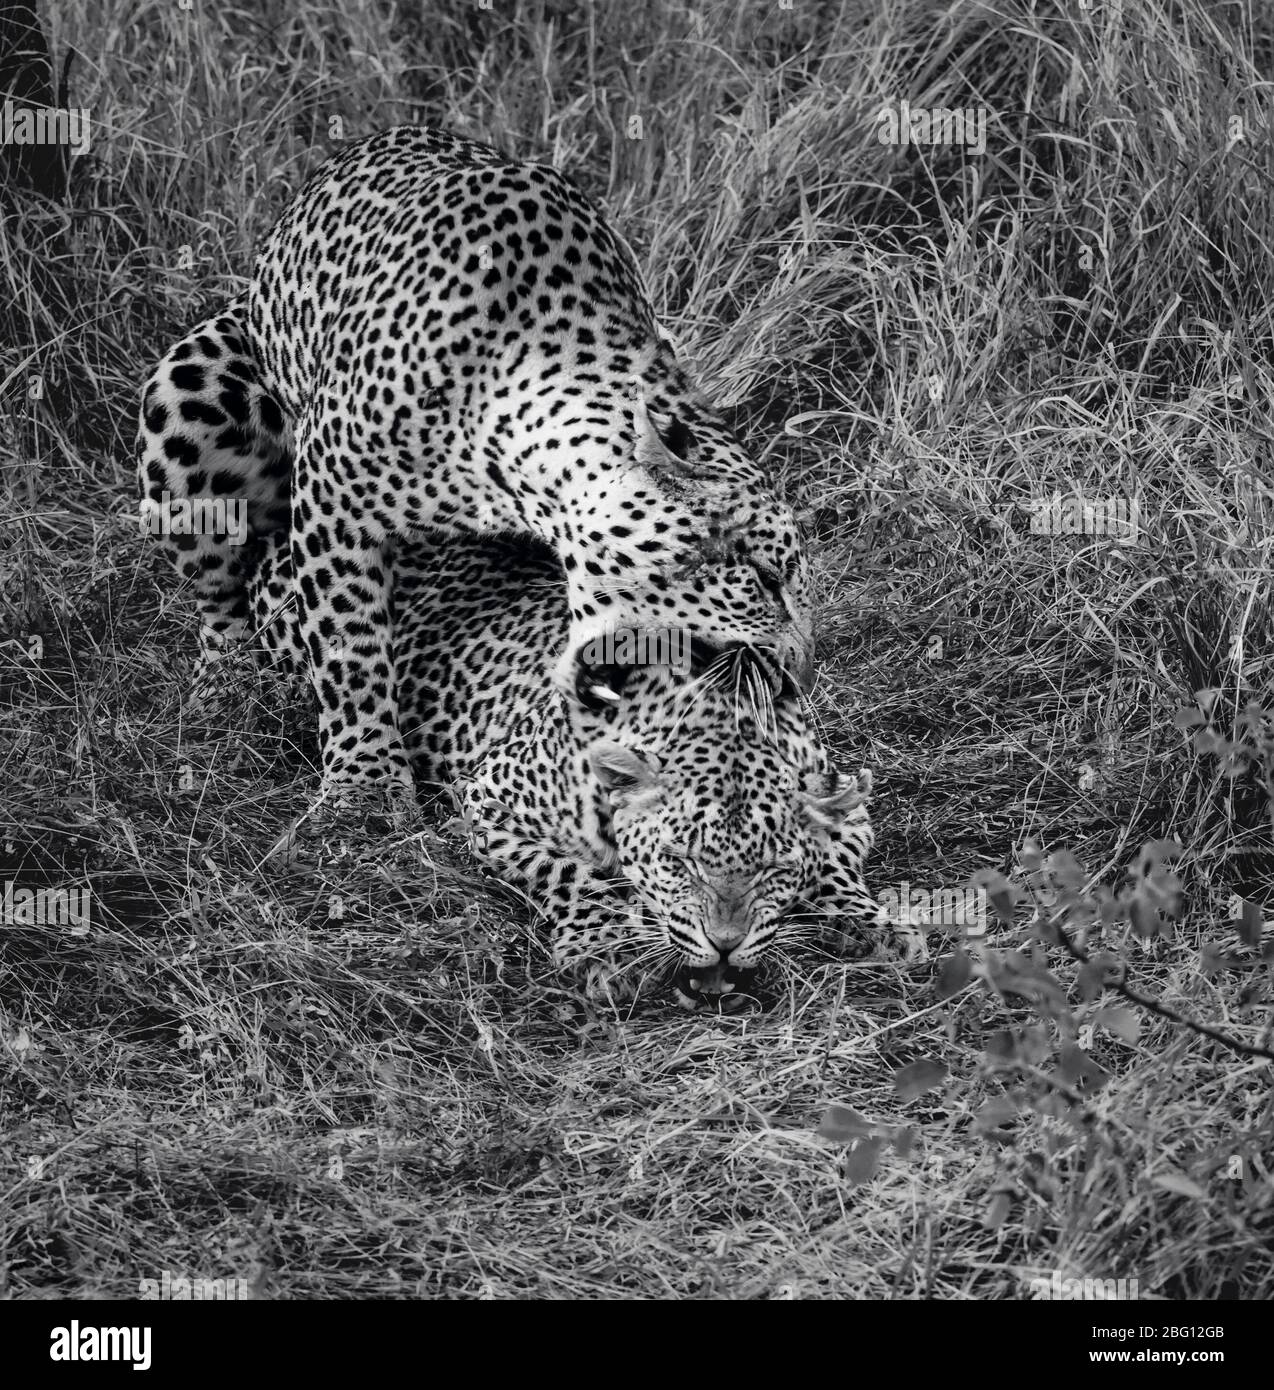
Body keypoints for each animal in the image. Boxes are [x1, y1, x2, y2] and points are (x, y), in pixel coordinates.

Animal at [138, 127, 816, 811]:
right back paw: (228, 691)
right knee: (219, 598)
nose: (800, 675)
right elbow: (348, 644)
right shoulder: (332, 499)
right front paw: (365, 785)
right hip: (190, 393)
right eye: (764, 580)